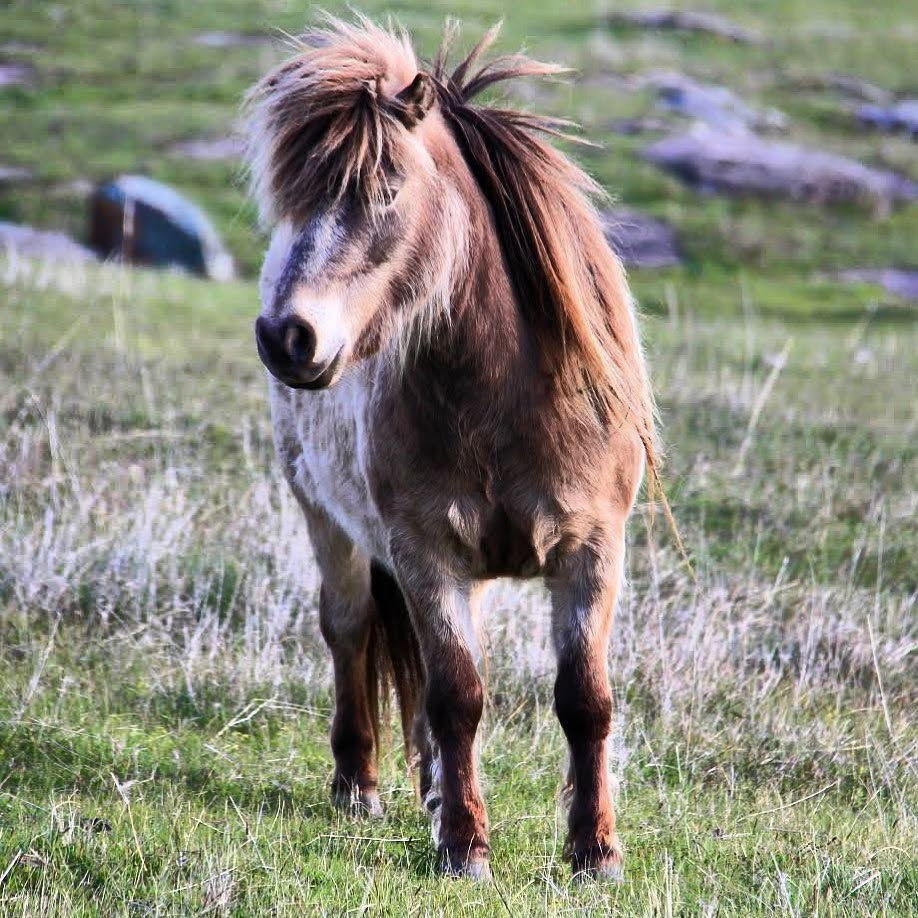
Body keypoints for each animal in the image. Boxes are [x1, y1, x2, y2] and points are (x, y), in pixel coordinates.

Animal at [244, 17, 659, 881]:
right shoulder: (426, 550)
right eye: (292, 199)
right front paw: (466, 847)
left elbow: (585, 700)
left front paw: (595, 849)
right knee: (350, 630)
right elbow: (457, 694)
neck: (504, 401)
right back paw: (360, 786)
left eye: (387, 189)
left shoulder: (593, 549)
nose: (287, 337)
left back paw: (434, 791)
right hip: (327, 520)